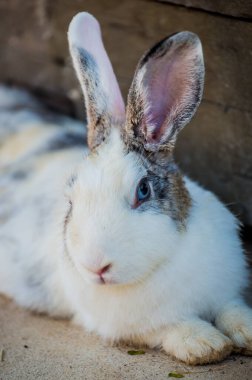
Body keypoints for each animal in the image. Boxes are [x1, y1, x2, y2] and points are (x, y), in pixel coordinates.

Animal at [0, 10, 252, 364]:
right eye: (71, 200)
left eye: (142, 190)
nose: (96, 267)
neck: (162, 265)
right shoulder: (132, 325)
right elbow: (169, 327)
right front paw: (205, 344)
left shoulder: (226, 291)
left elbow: (234, 309)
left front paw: (247, 333)